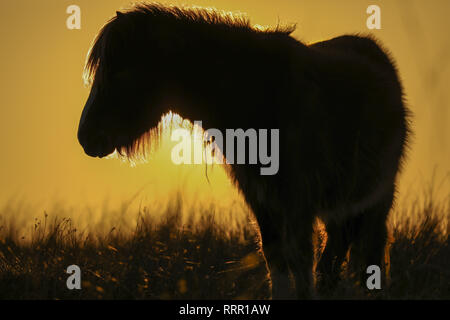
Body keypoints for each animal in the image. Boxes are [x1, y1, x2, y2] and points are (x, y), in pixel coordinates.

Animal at [78, 2, 412, 298]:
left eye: (121, 73)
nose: (85, 136)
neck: (257, 94)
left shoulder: (297, 198)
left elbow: (301, 258)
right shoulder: (260, 197)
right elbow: (275, 257)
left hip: (376, 197)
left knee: (360, 248)